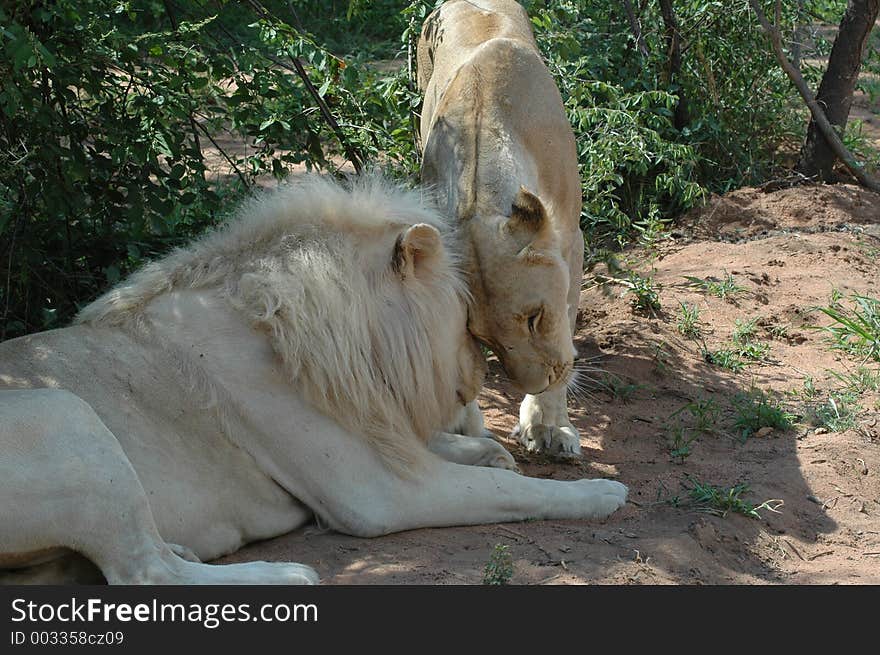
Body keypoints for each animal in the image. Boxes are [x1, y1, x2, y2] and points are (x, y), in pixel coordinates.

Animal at [0, 173, 624, 584]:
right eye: (465, 315)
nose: (476, 376)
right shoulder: (380, 494)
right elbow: (517, 492)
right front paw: (600, 493)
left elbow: (447, 449)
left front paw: (487, 450)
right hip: (65, 412)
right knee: (146, 574)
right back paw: (285, 575)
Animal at [418, 0, 584, 458]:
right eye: (484, 339)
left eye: (534, 318)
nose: (537, 383)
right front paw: (467, 429)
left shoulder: (572, 244)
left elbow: (566, 324)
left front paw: (548, 427)